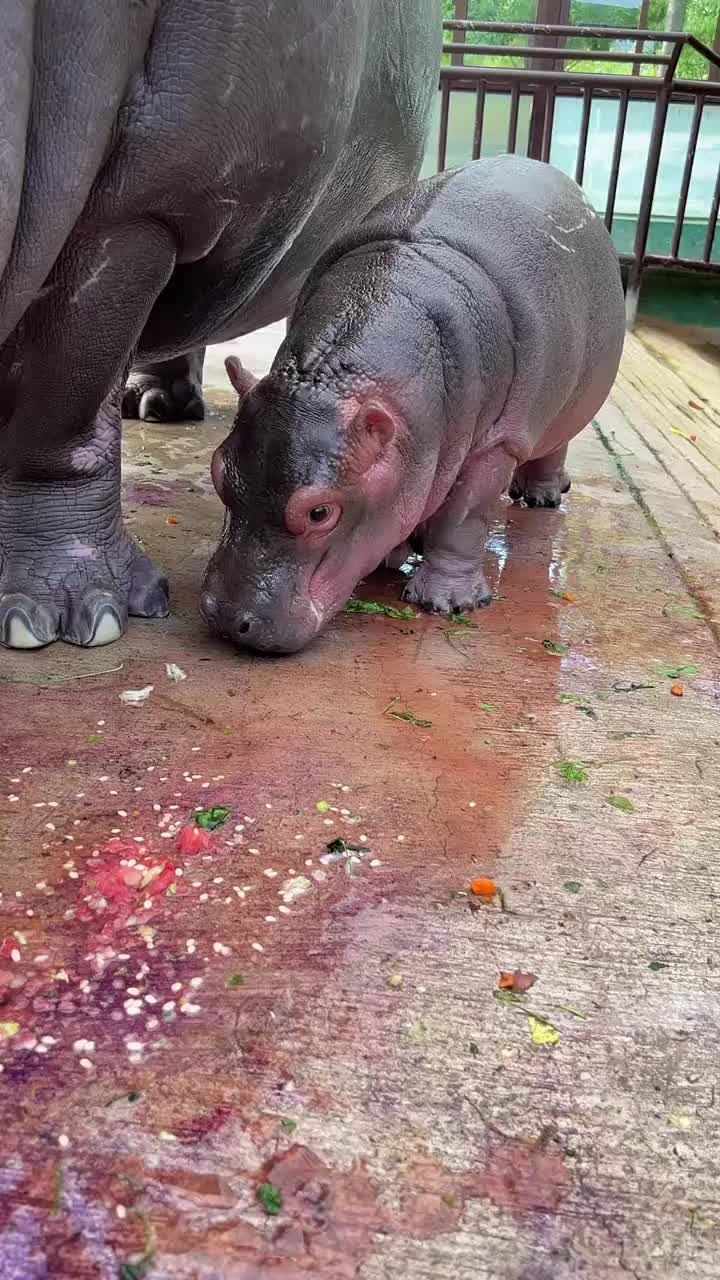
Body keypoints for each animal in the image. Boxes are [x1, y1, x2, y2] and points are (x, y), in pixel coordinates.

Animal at [202, 155, 625, 653]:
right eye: (218, 471)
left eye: (320, 513)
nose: (230, 619)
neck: (337, 379)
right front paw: (394, 556)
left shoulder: (497, 443)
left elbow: (463, 518)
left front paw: (447, 604)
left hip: (564, 409)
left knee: (554, 446)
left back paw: (540, 497)